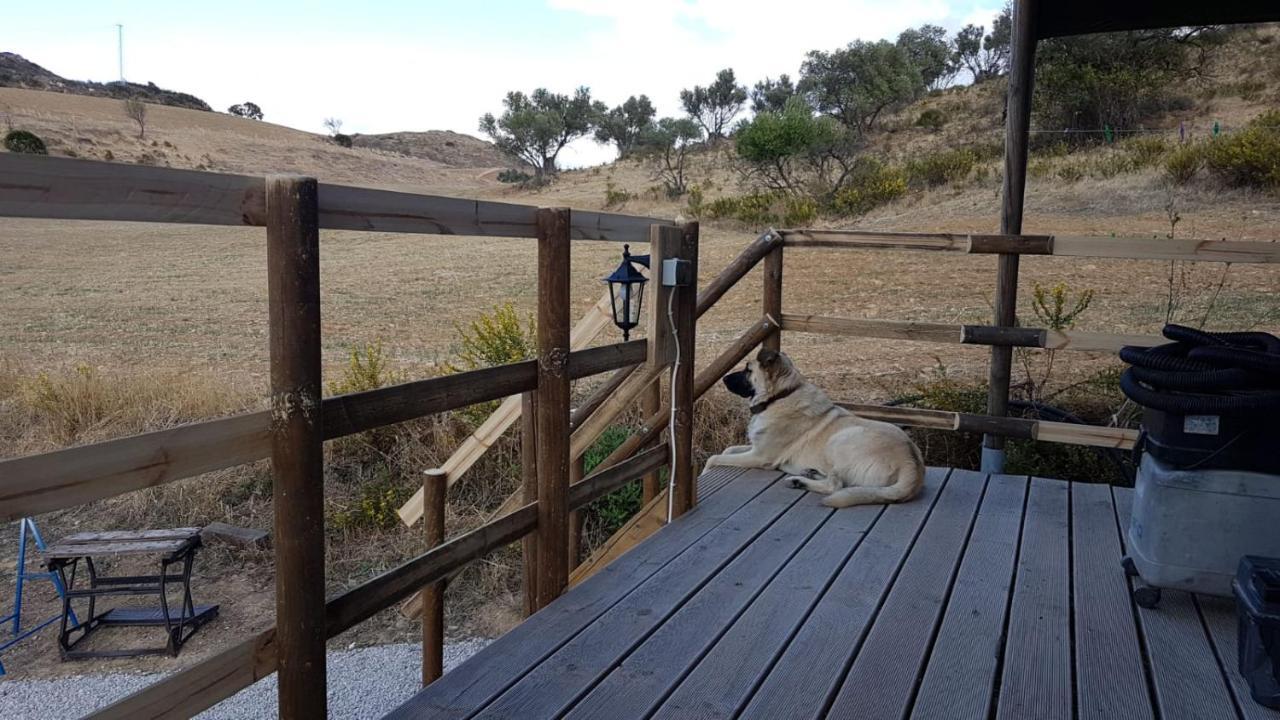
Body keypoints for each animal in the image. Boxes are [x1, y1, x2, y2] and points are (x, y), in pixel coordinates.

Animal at [706, 348, 926, 504]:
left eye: (748, 370)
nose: (723, 378)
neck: (779, 397)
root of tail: (912, 464)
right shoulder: (754, 447)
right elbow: (727, 449)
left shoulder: (759, 456)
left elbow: (714, 458)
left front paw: (705, 473)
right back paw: (808, 473)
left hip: (841, 440)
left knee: (835, 485)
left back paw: (799, 481)